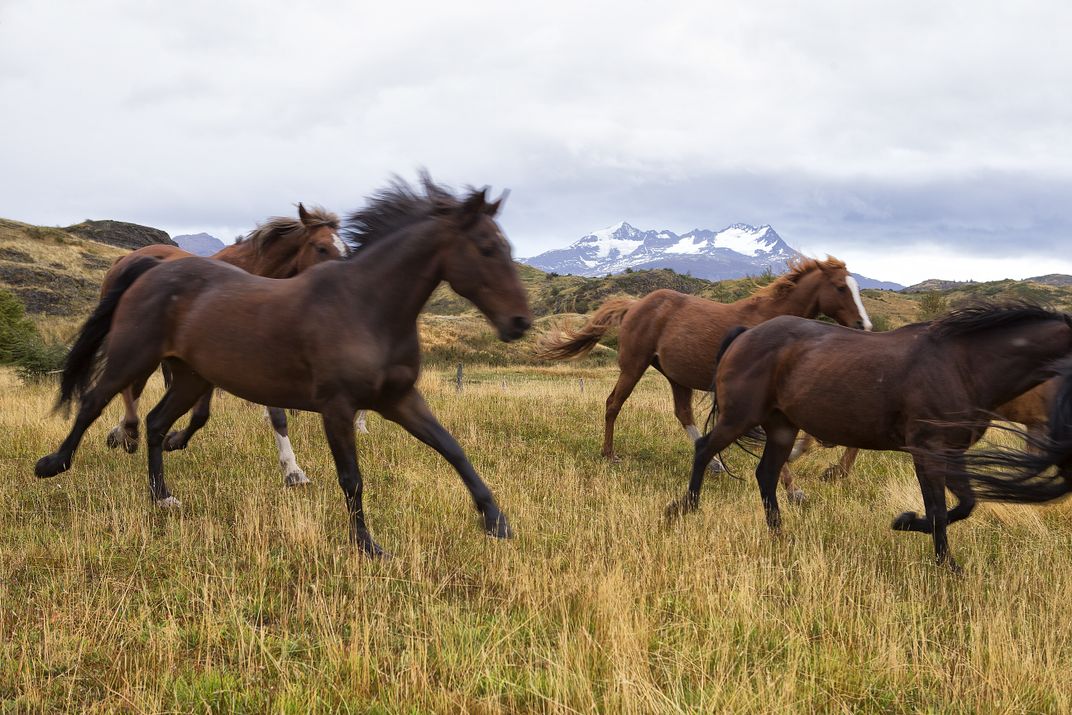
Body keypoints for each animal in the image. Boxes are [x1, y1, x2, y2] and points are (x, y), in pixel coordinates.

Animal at [100, 204, 369, 487]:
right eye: (321, 247)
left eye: (346, 248)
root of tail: (125, 260)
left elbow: (205, 415)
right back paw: (124, 434)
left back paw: (124, 434)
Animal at [536, 256, 872, 500]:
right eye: (840, 288)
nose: (865, 325)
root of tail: (635, 305)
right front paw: (795, 488)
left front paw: (809, 468)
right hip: (633, 366)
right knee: (613, 403)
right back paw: (610, 455)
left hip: (676, 376)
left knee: (682, 413)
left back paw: (713, 463)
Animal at [665, 302, 1072, 570]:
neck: (962, 365)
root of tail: (745, 334)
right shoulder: (928, 451)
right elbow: (940, 510)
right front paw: (929, 547)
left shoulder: (949, 452)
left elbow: (963, 505)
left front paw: (930, 546)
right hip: (740, 417)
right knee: (704, 450)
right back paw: (684, 509)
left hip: (782, 427)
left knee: (765, 474)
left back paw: (780, 536)